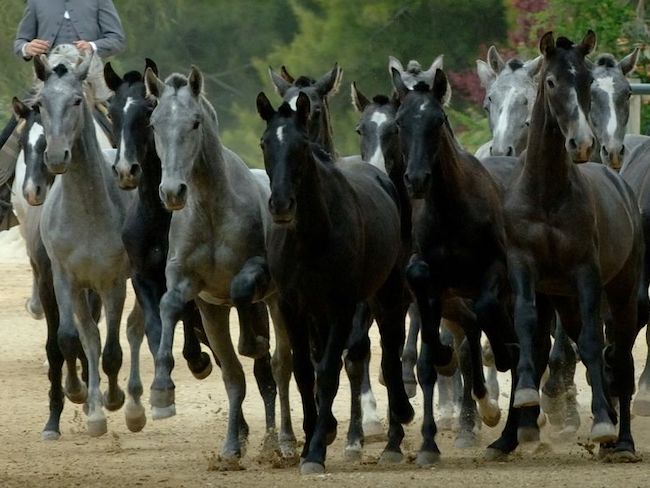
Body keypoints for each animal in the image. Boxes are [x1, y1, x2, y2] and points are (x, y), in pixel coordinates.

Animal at [144, 66, 294, 462]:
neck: (212, 209)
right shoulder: (191, 287)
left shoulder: (257, 273)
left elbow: (242, 288)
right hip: (216, 313)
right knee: (246, 375)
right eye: (154, 123)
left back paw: (286, 441)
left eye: (194, 122)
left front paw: (252, 341)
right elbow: (170, 306)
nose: (172, 192)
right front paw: (162, 393)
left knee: (281, 367)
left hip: (278, 302)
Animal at [504, 31, 640, 462]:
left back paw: (621, 439)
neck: (547, 194)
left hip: (622, 292)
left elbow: (596, 345)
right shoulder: (524, 265)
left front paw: (602, 425)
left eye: (586, 81)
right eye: (551, 82)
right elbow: (527, 322)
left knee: (620, 359)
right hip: (566, 301)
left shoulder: (586, 273)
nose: (581, 144)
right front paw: (526, 396)